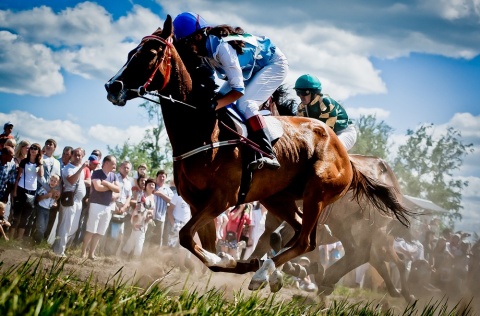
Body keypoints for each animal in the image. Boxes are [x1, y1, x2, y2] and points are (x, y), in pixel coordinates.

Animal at [105, 15, 412, 292]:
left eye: (150, 54)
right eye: (131, 52)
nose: (112, 86)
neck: (204, 130)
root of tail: (347, 158)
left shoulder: (222, 198)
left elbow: (185, 236)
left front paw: (241, 262)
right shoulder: (195, 202)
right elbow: (199, 244)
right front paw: (235, 261)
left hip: (318, 196)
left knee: (312, 241)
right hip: (278, 198)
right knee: (304, 235)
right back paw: (280, 273)